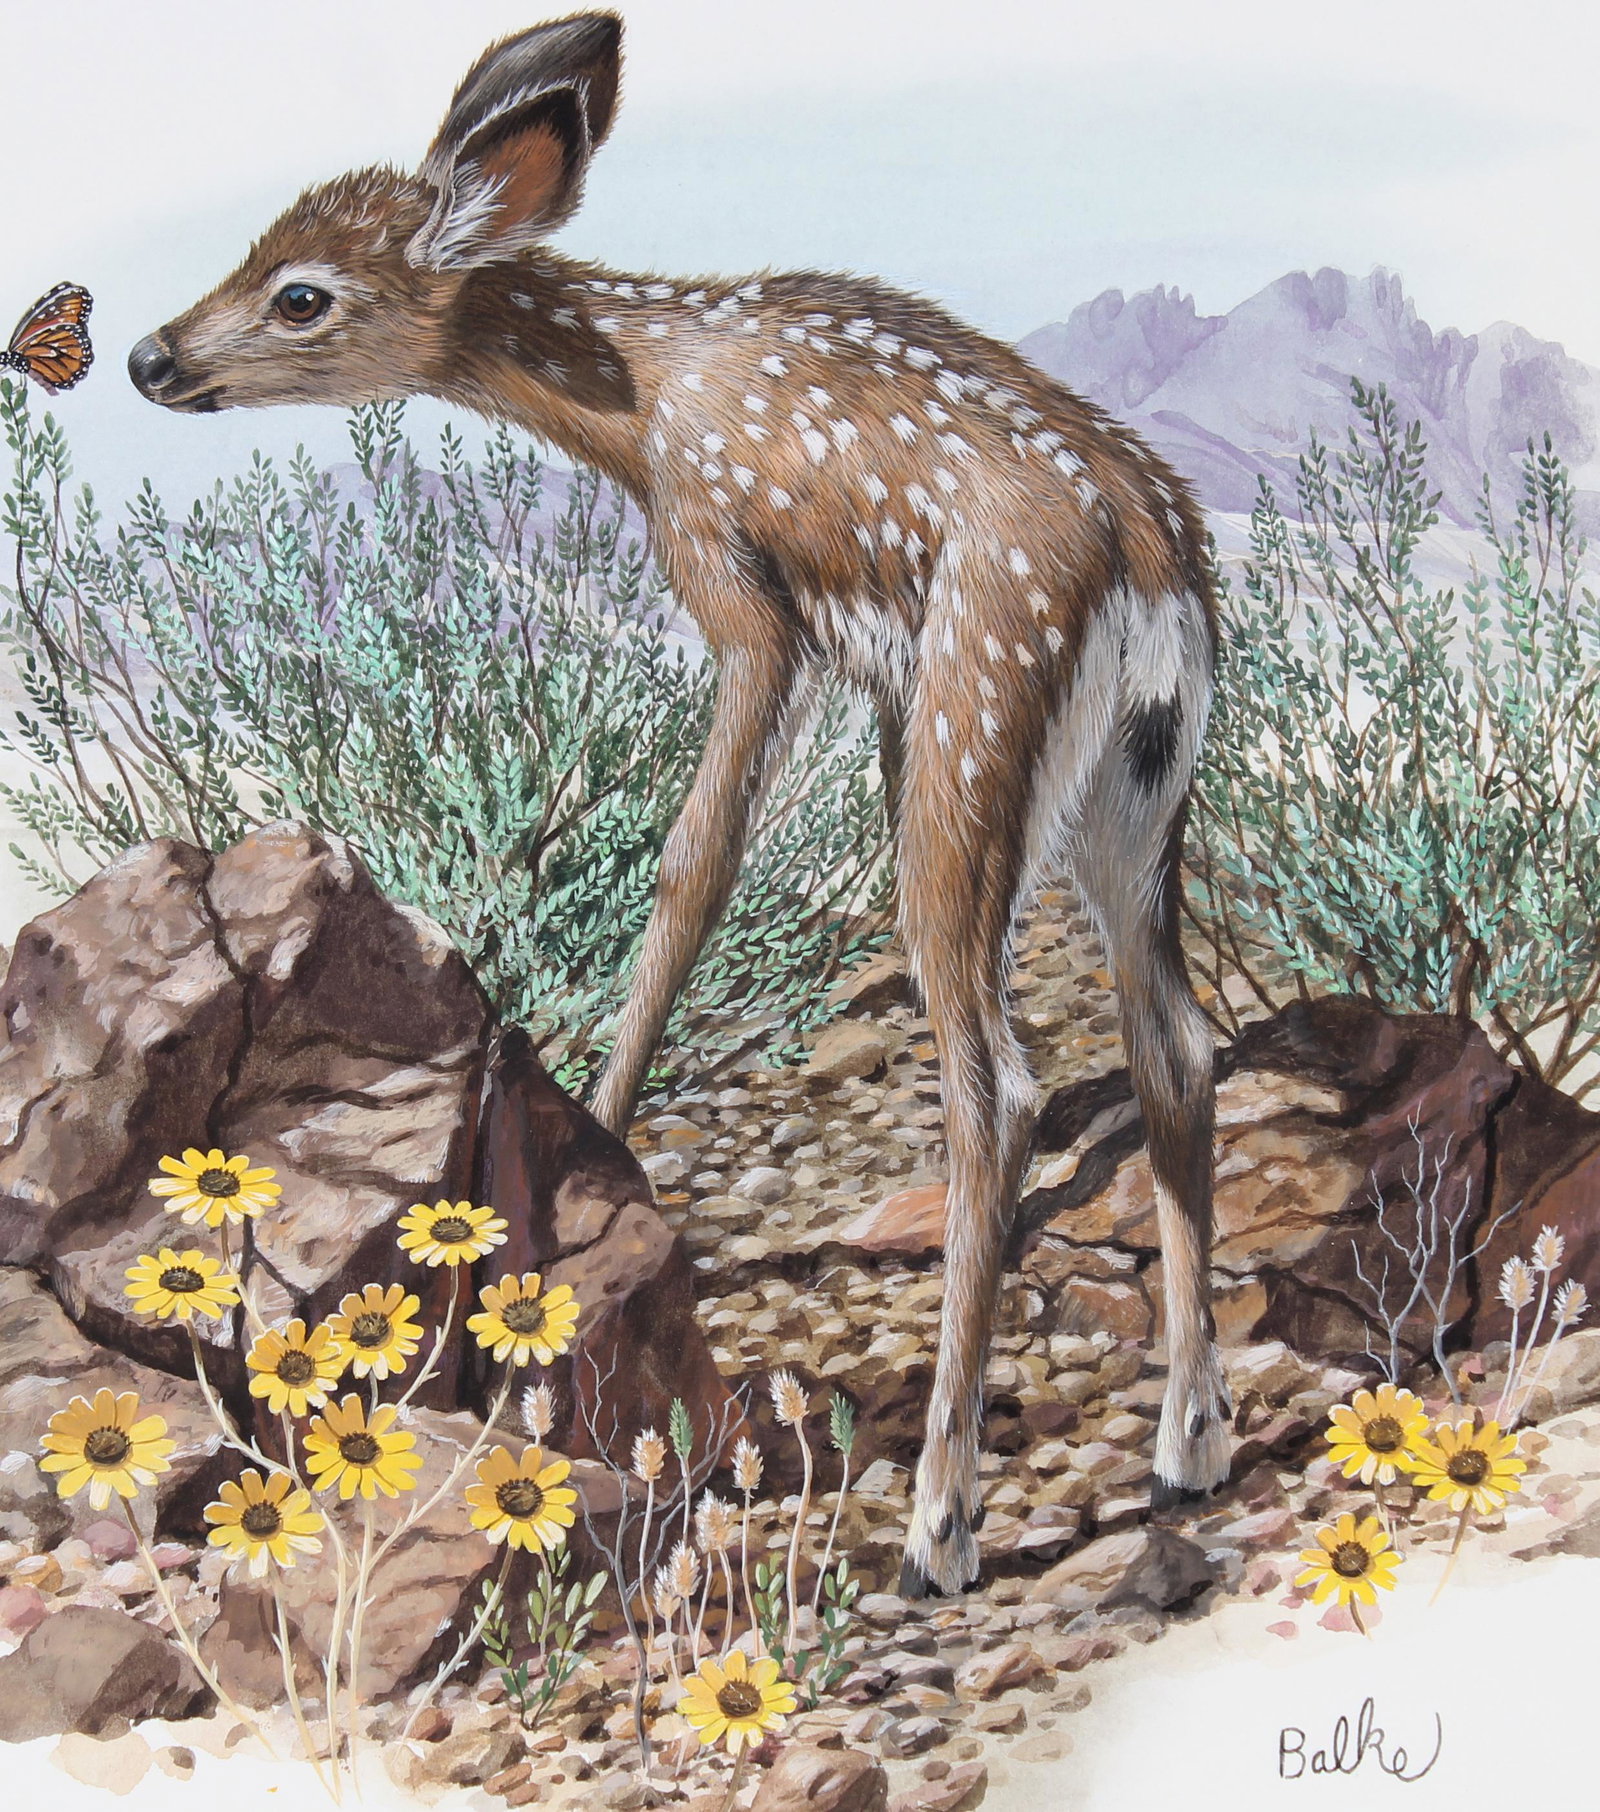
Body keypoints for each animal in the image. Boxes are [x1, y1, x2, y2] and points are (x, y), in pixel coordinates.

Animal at [128, 11, 1230, 1596]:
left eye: (301, 292)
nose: (146, 354)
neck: (641, 397)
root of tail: (1151, 559)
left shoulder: (736, 584)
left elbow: (694, 863)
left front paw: (590, 1127)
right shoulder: (869, 682)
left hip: (978, 711)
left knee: (1002, 1087)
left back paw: (939, 1524)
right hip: (1129, 797)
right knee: (1179, 1048)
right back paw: (1188, 1447)